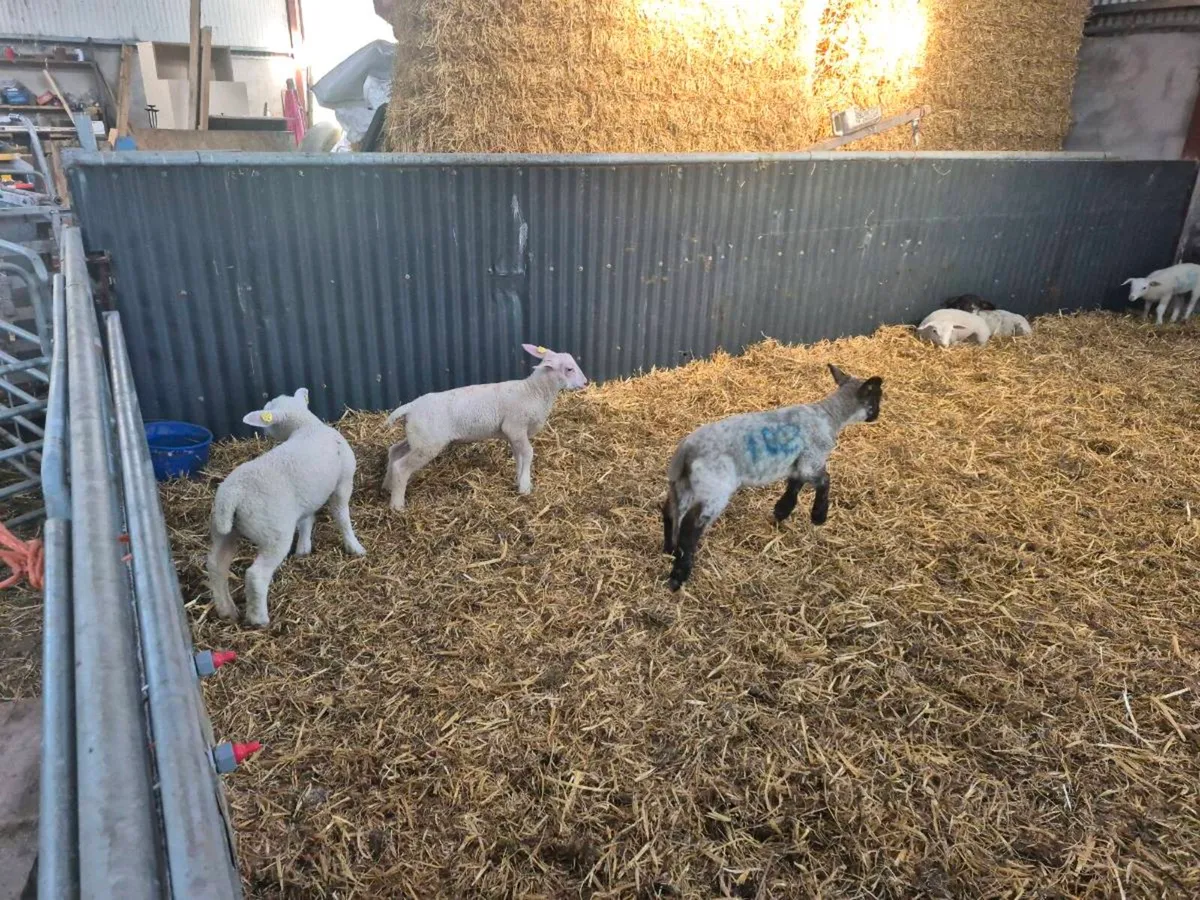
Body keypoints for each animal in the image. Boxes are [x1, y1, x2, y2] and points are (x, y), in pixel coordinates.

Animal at [207, 388, 366, 627]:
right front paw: (354, 546)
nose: (264, 433)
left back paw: (227, 610)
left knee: (216, 566)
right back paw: (259, 619)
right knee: (256, 575)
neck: (306, 427)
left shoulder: (306, 499)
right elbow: (342, 516)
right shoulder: (343, 482)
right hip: (274, 534)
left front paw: (303, 549)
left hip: (223, 530)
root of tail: (233, 495)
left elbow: (306, 520)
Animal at [383, 344, 588, 510]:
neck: (533, 392)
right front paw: (525, 486)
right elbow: (528, 453)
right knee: (401, 467)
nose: (586, 383)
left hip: (418, 438)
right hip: (427, 444)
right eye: (569, 369)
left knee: (394, 451)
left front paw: (518, 479)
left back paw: (387, 485)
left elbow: (518, 456)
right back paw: (397, 505)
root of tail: (410, 407)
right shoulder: (515, 427)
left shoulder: (513, 434)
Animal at [660, 364, 882, 591]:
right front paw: (818, 516)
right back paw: (678, 577)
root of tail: (686, 451)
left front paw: (782, 511)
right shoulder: (811, 461)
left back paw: (670, 550)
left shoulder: (797, 465)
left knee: (669, 513)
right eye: (877, 398)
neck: (830, 416)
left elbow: (794, 485)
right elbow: (825, 481)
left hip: (682, 486)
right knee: (690, 529)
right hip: (714, 491)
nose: (877, 416)